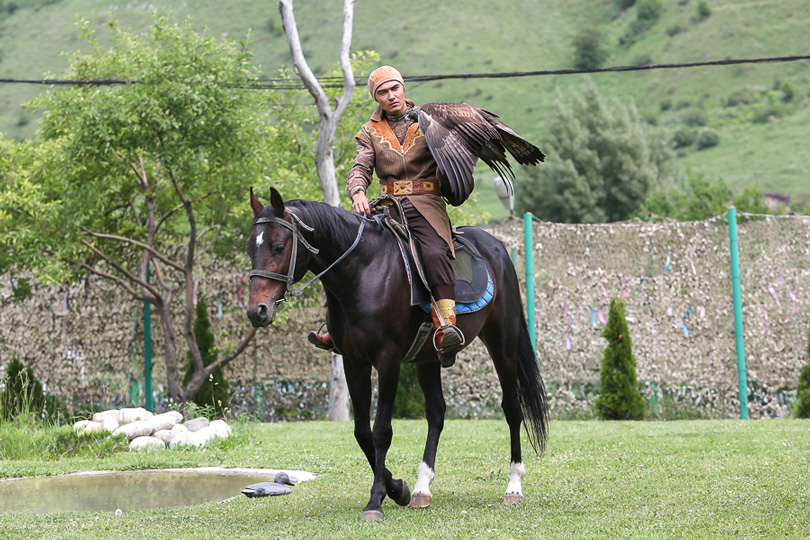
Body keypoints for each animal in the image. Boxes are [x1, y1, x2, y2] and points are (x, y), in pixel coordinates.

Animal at [245, 188, 548, 520]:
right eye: (249, 249)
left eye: (278, 246)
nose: (257, 311)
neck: (362, 272)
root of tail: (497, 248)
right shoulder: (354, 363)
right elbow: (362, 432)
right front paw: (397, 488)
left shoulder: (387, 361)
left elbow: (381, 431)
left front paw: (376, 500)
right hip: (428, 359)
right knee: (436, 412)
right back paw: (421, 487)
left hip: (502, 343)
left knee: (512, 408)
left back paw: (514, 486)